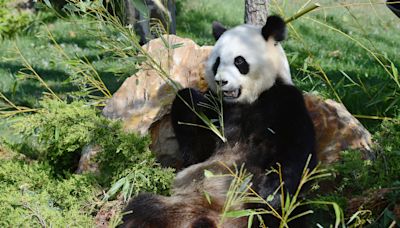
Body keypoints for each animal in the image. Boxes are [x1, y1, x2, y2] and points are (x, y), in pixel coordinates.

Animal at [120, 15, 318, 227]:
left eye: (239, 61)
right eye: (217, 61)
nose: (221, 81)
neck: (244, 102)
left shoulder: (282, 101)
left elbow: (297, 154)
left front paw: (270, 194)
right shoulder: (217, 111)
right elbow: (196, 149)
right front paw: (188, 101)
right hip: (179, 204)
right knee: (142, 208)